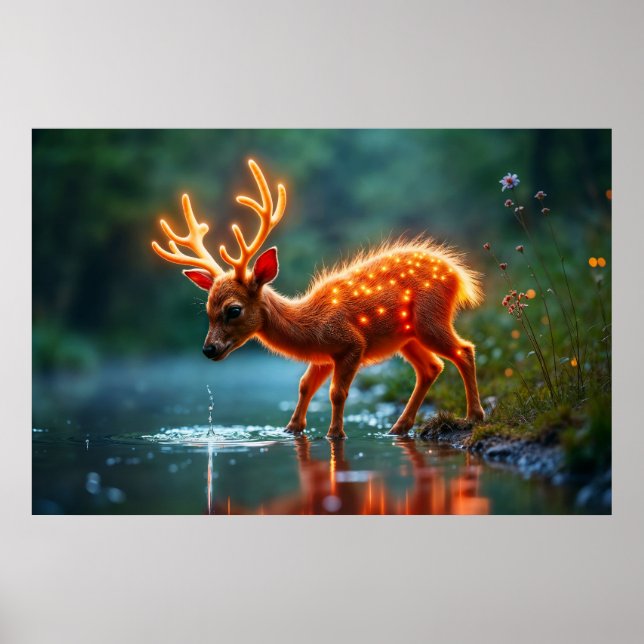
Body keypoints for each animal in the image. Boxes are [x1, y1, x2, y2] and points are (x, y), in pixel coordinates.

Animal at [152, 159, 485, 439]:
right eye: (207, 310)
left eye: (233, 310)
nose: (209, 349)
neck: (310, 325)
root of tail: (459, 276)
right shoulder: (324, 356)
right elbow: (304, 385)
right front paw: (291, 429)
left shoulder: (352, 343)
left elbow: (336, 392)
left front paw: (335, 434)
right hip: (406, 336)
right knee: (431, 367)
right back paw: (398, 428)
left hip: (430, 318)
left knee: (464, 350)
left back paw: (474, 417)